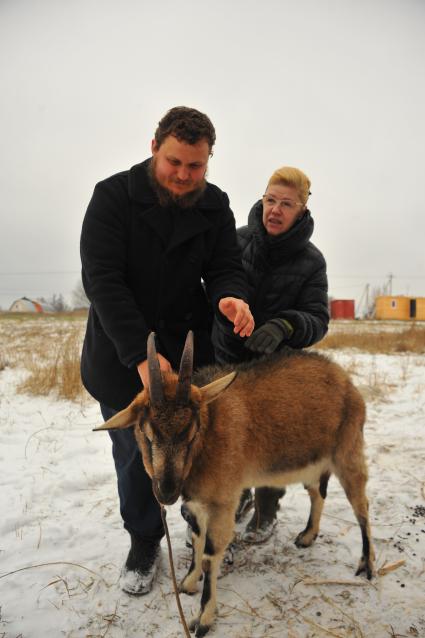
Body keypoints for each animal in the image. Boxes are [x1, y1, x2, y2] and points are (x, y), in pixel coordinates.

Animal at [94, 332, 372, 636]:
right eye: (146, 433)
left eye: (193, 432)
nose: (166, 493)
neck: (209, 438)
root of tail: (345, 380)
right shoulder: (198, 503)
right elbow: (196, 539)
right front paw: (188, 583)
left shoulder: (222, 501)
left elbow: (210, 554)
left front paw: (203, 619)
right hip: (312, 461)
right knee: (317, 494)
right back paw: (307, 536)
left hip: (348, 451)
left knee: (361, 506)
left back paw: (366, 565)